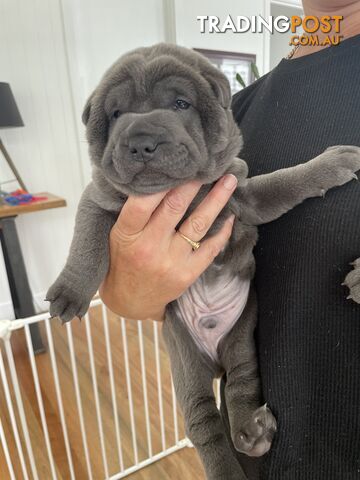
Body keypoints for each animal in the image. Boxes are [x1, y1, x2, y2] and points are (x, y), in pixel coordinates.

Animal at [46, 43, 360, 478]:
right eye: (116, 114)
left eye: (181, 104)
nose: (141, 140)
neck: (181, 193)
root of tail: (213, 360)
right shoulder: (99, 198)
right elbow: (87, 242)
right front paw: (70, 292)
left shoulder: (243, 195)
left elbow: (287, 180)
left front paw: (332, 163)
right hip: (185, 361)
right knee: (204, 423)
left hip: (241, 336)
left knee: (241, 383)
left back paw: (252, 431)